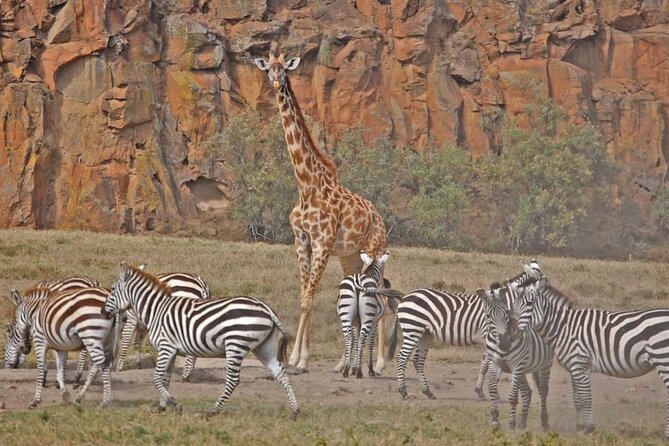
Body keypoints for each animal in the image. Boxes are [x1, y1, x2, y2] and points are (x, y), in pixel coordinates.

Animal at [255, 43, 388, 372]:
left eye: (284, 69)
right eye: (268, 68)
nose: (275, 82)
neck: (306, 185)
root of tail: (379, 217)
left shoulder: (322, 243)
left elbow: (308, 299)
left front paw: (297, 358)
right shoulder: (302, 241)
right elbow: (305, 295)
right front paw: (298, 357)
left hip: (375, 250)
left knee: (380, 294)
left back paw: (379, 363)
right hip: (350, 257)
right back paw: (343, 363)